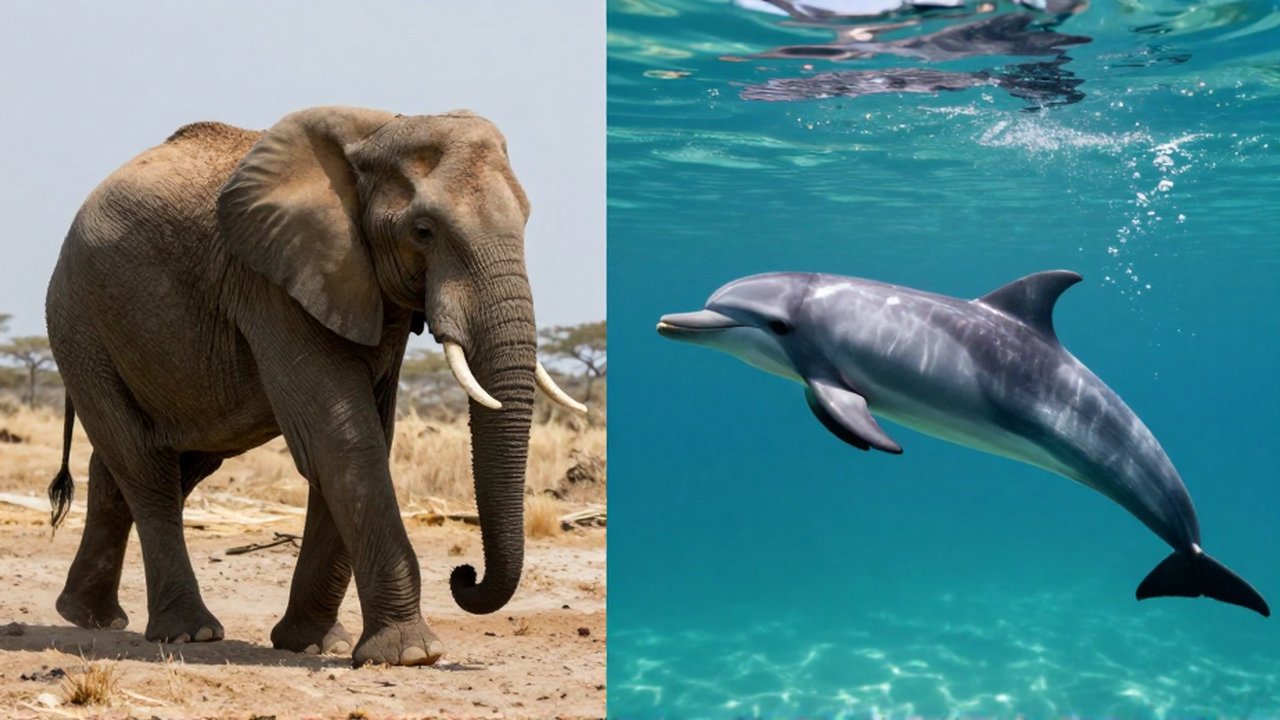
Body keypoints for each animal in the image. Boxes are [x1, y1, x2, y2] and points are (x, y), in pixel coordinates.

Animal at [43, 106, 586, 667]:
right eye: (423, 230)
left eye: (526, 220)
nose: (464, 575)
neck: (380, 130)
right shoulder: (272, 285)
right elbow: (342, 438)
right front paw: (411, 656)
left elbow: (362, 438)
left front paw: (315, 644)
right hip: (79, 325)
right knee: (145, 467)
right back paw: (189, 632)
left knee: (163, 462)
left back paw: (89, 616)